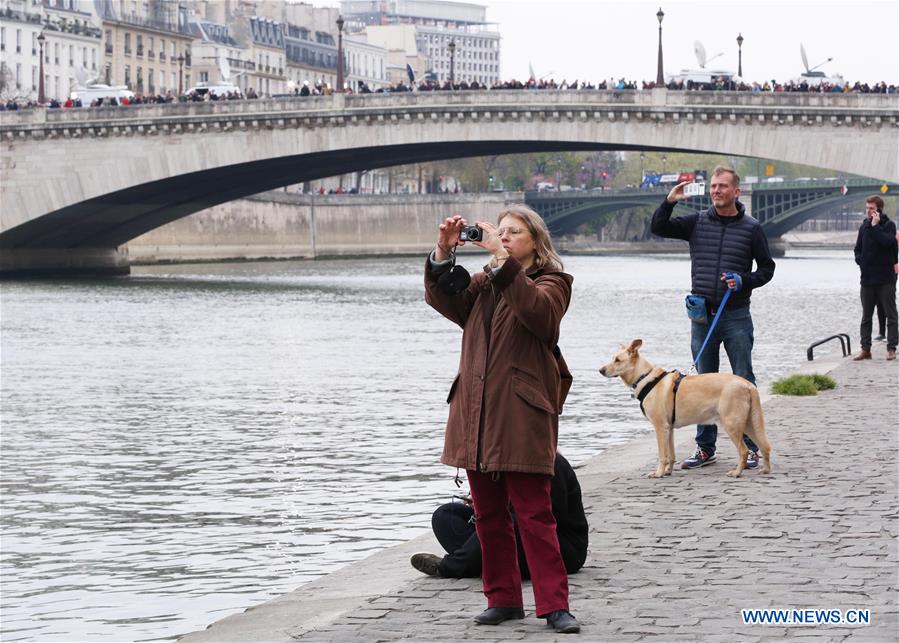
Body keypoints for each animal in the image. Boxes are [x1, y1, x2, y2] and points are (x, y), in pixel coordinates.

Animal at [596, 342, 772, 478]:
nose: (600, 370)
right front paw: (668, 471)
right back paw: (765, 470)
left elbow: (662, 455)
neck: (645, 377)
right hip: (750, 423)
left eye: (617, 360)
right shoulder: (669, 429)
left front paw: (658, 473)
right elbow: (671, 454)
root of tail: (747, 384)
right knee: (765, 446)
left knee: (744, 450)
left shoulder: (660, 427)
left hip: (732, 424)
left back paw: (737, 472)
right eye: (613, 358)